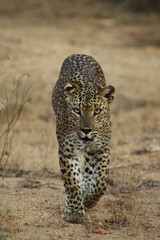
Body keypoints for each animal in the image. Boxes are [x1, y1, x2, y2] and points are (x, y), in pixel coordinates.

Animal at [52, 53, 114, 224]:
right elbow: (71, 182)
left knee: (88, 168)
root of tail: (80, 53)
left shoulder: (102, 148)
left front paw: (89, 200)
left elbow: (101, 182)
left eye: (97, 111)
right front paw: (74, 212)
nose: (86, 130)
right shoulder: (67, 151)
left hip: (92, 150)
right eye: (76, 110)